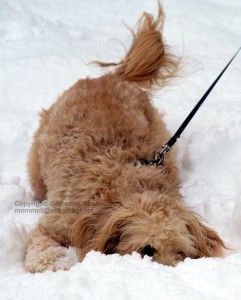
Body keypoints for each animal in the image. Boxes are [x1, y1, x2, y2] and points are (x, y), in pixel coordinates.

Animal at [25, 4, 226, 272]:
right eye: (147, 249)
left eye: (181, 253)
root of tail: (115, 77)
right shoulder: (58, 222)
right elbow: (43, 243)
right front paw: (53, 266)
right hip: (38, 159)